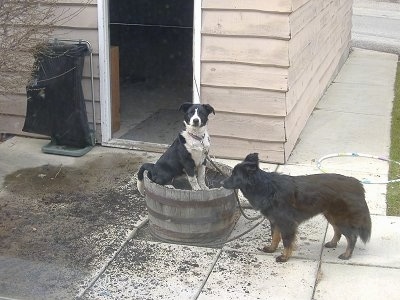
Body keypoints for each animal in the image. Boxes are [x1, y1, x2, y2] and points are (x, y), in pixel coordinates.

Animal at [220, 154, 370, 262]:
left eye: (234, 175)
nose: (220, 182)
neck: (267, 188)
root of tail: (356, 183)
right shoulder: (275, 221)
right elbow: (275, 237)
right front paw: (272, 249)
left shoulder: (286, 223)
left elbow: (286, 241)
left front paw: (284, 257)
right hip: (331, 215)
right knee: (337, 231)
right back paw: (333, 244)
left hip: (340, 218)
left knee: (352, 236)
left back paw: (347, 255)